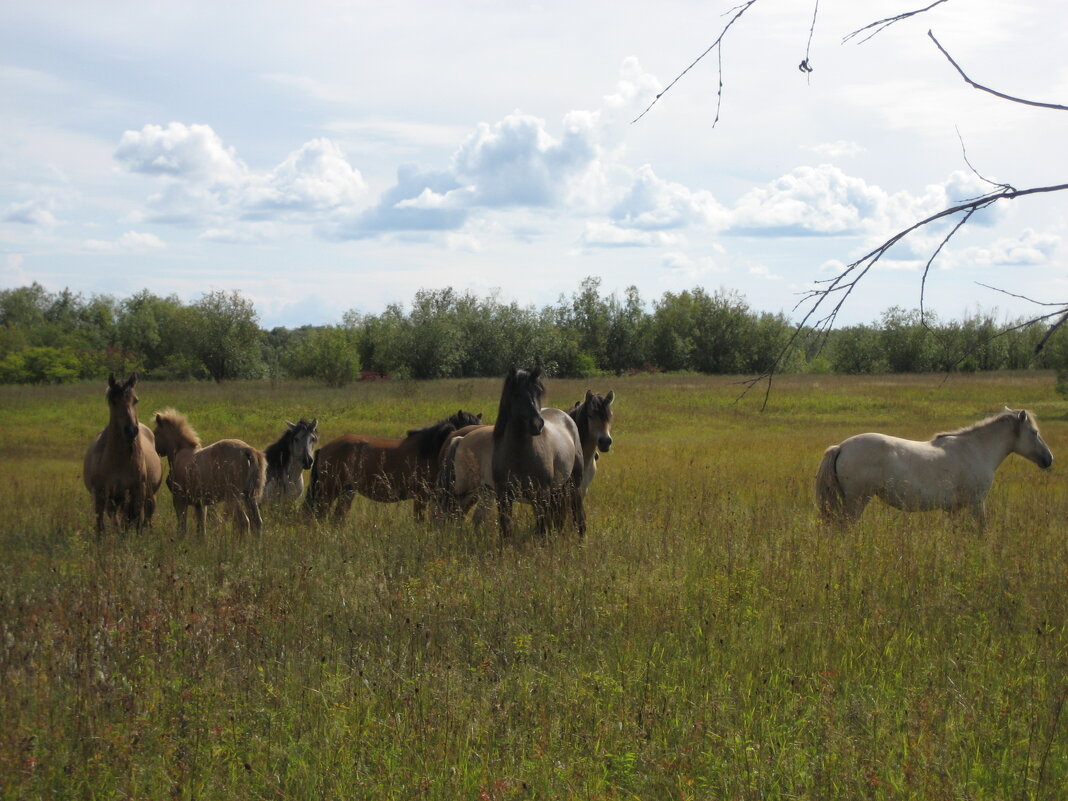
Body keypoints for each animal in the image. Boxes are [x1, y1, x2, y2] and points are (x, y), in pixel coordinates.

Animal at [82, 375, 161, 534]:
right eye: (114, 401)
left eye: (136, 400)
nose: (131, 430)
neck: (118, 460)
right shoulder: (103, 495)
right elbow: (108, 524)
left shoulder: (136, 492)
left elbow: (133, 522)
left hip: (147, 496)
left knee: (146, 517)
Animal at [303, 410, 482, 523]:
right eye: (468, 429)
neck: (431, 450)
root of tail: (324, 449)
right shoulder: (421, 496)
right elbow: (419, 520)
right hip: (329, 490)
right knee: (320, 514)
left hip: (346, 491)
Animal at [489, 369, 585, 540]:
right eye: (516, 393)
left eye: (538, 392)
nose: (537, 424)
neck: (519, 454)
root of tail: (565, 416)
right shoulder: (503, 496)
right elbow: (505, 529)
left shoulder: (541, 494)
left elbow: (542, 528)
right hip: (556, 490)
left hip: (574, 484)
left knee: (577, 513)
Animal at [815, 410, 1050, 529]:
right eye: (1035, 432)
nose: (1049, 459)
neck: (976, 448)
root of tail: (841, 447)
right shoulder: (977, 502)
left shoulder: (953, 509)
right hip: (857, 501)